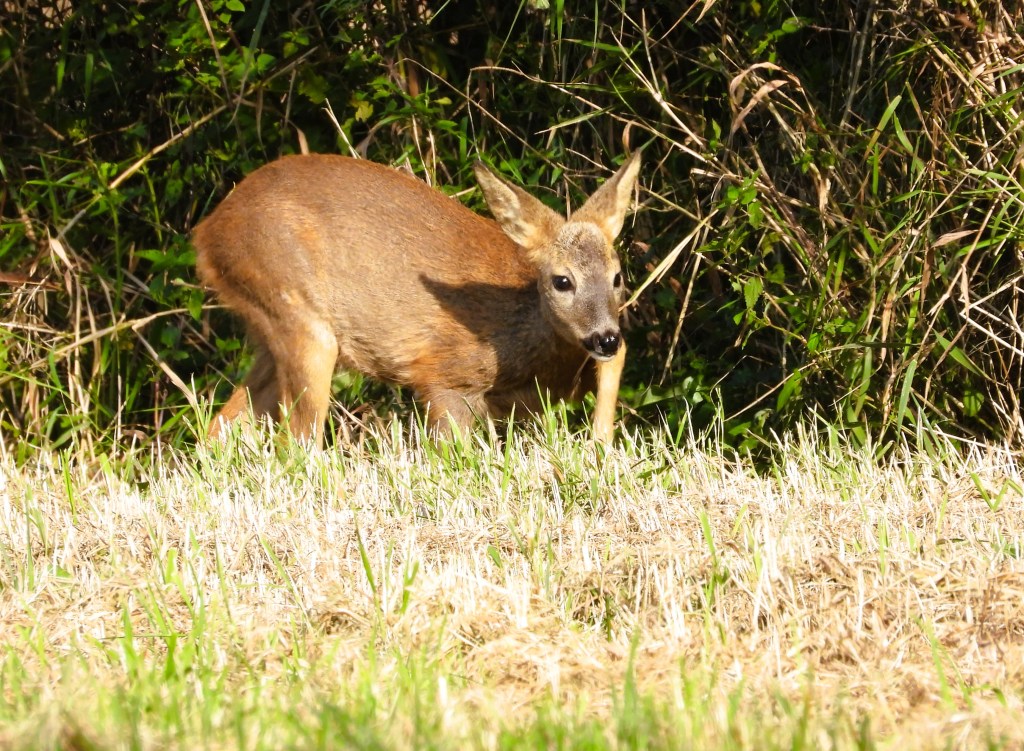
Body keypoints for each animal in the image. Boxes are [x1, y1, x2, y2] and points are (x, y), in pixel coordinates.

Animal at [193, 150, 641, 446]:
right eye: (562, 281)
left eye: (618, 277)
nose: (604, 337)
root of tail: (206, 233)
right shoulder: (444, 375)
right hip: (301, 319)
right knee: (297, 443)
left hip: (272, 332)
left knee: (221, 425)